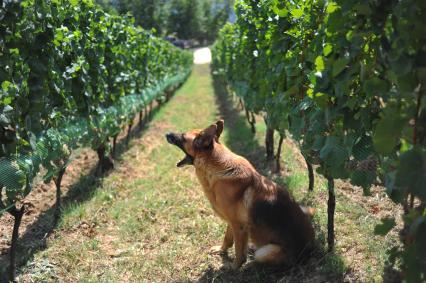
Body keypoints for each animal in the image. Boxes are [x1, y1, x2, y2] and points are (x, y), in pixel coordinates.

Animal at [165, 120, 314, 270]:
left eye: (183, 136)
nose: (167, 134)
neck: (216, 166)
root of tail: (310, 249)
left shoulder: (239, 226)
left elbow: (238, 251)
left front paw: (233, 266)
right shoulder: (232, 222)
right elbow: (227, 238)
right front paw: (221, 250)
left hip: (265, 252)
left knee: (260, 258)